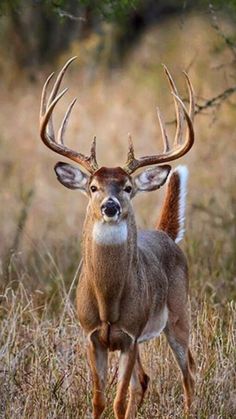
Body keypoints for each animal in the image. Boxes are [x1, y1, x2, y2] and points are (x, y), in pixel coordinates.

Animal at [39, 56, 195, 419]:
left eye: (127, 187)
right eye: (93, 187)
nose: (110, 206)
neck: (108, 301)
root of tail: (166, 235)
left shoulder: (130, 335)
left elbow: (118, 401)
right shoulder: (92, 335)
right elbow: (99, 400)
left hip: (179, 314)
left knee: (189, 373)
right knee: (146, 380)